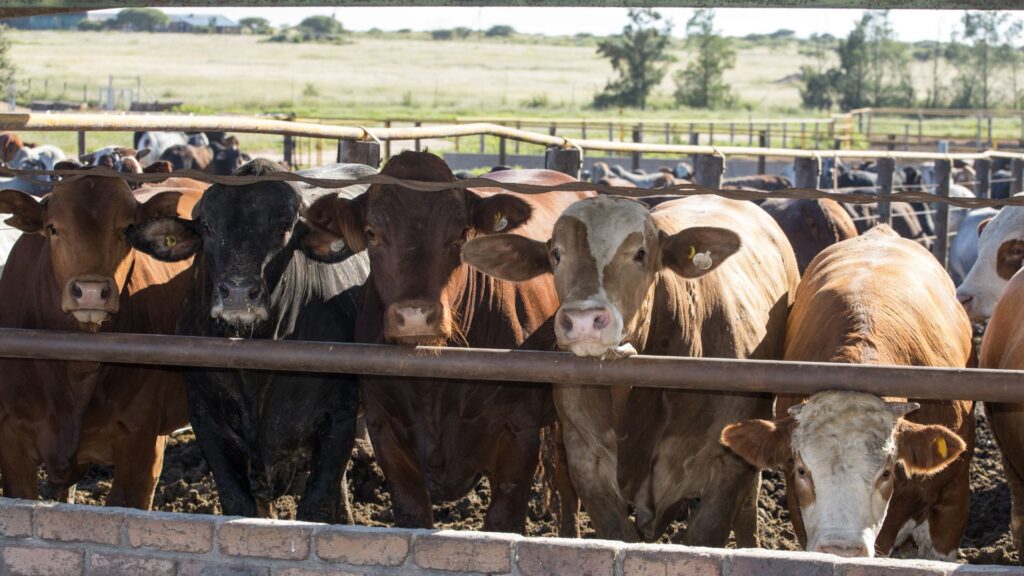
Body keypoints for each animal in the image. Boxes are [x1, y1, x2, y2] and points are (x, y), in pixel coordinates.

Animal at [127, 159, 373, 523]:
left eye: (285, 226)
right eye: (206, 225)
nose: (239, 293)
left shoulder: (338, 420)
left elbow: (316, 504)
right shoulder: (207, 422)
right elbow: (239, 504)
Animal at [303, 150, 591, 533]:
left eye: (460, 234)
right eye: (372, 233)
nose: (414, 315)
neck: (435, 387)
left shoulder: (519, 434)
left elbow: (503, 519)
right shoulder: (384, 430)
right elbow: (412, 514)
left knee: (565, 478)